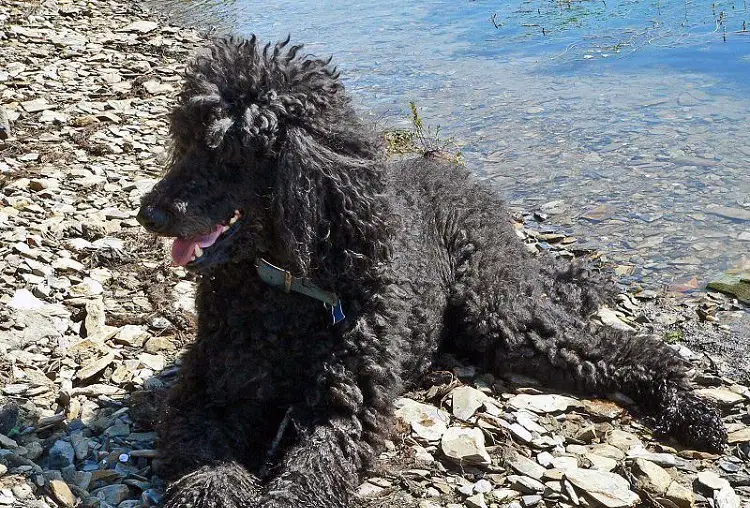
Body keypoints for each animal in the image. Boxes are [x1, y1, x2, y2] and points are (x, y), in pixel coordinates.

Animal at [140, 36, 728, 508]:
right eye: (184, 140)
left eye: (227, 152)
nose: (150, 213)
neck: (284, 293)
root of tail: (467, 183)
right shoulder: (207, 394)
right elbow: (204, 462)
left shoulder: (341, 411)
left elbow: (310, 474)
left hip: (501, 313)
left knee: (629, 347)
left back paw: (692, 410)